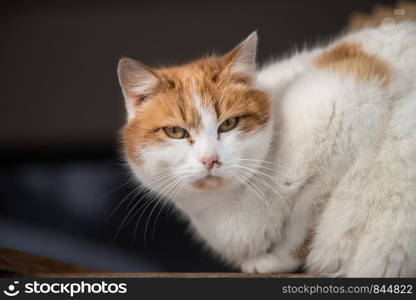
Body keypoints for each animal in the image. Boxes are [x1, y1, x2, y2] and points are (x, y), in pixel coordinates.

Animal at [116, 21, 416, 276]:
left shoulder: (351, 103)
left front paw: (275, 260)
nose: (210, 160)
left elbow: (302, 226)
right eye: (176, 132)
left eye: (229, 124)